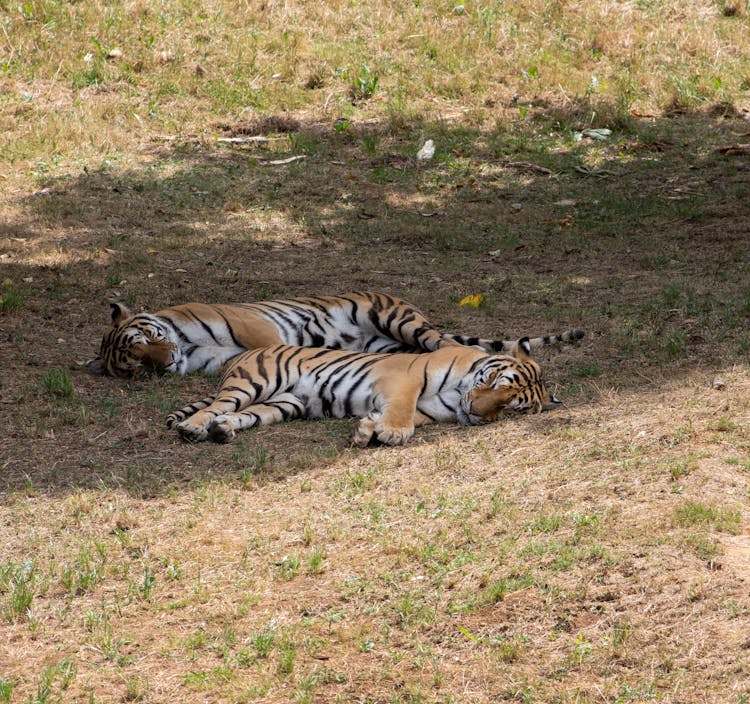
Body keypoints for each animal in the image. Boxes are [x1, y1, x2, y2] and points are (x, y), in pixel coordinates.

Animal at [167, 340, 560, 448]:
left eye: (510, 408)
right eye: (495, 381)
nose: (477, 413)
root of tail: (244, 354)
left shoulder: (430, 409)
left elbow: (402, 415)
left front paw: (366, 430)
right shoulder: (404, 378)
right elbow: (402, 410)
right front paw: (391, 433)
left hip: (283, 404)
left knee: (240, 414)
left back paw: (222, 430)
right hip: (254, 382)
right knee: (216, 405)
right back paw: (193, 428)